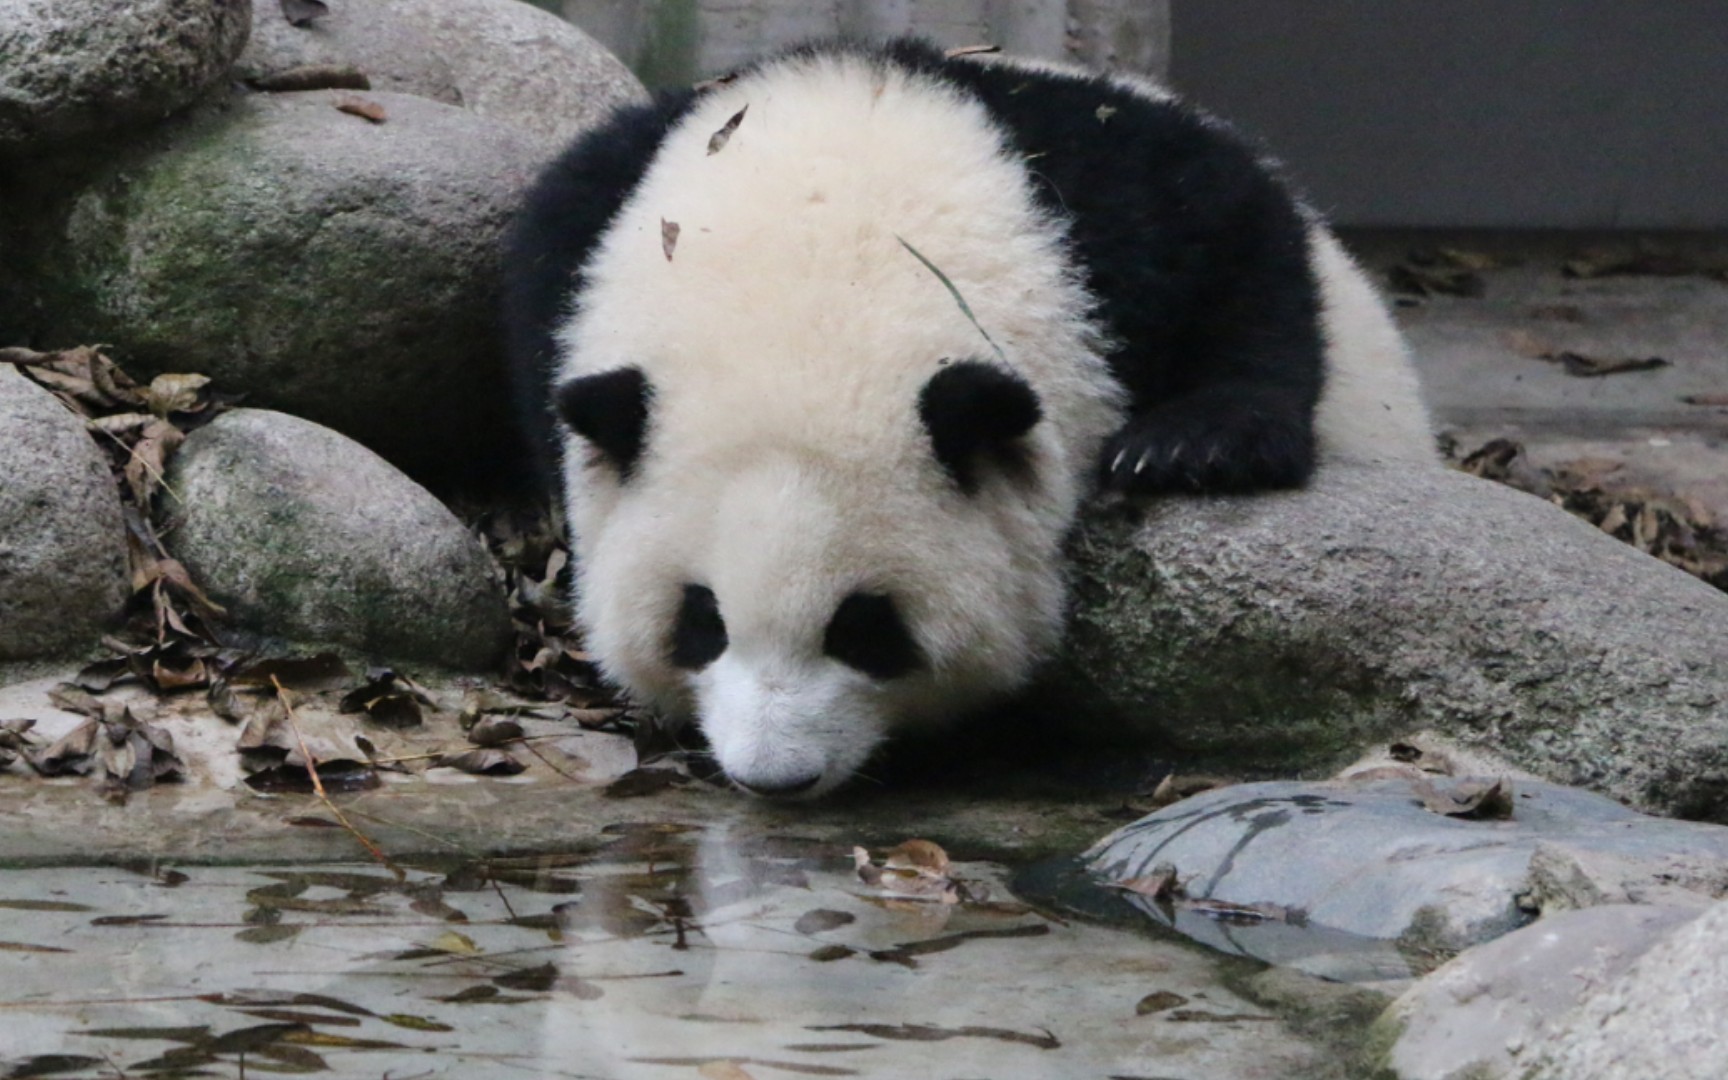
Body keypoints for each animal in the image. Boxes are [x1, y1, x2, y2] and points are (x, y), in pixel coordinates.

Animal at [501, 38, 1430, 794]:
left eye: (865, 627)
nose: (776, 778)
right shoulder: (587, 223)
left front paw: (1191, 447)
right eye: (702, 622)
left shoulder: (1109, 217)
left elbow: (1244, 255)